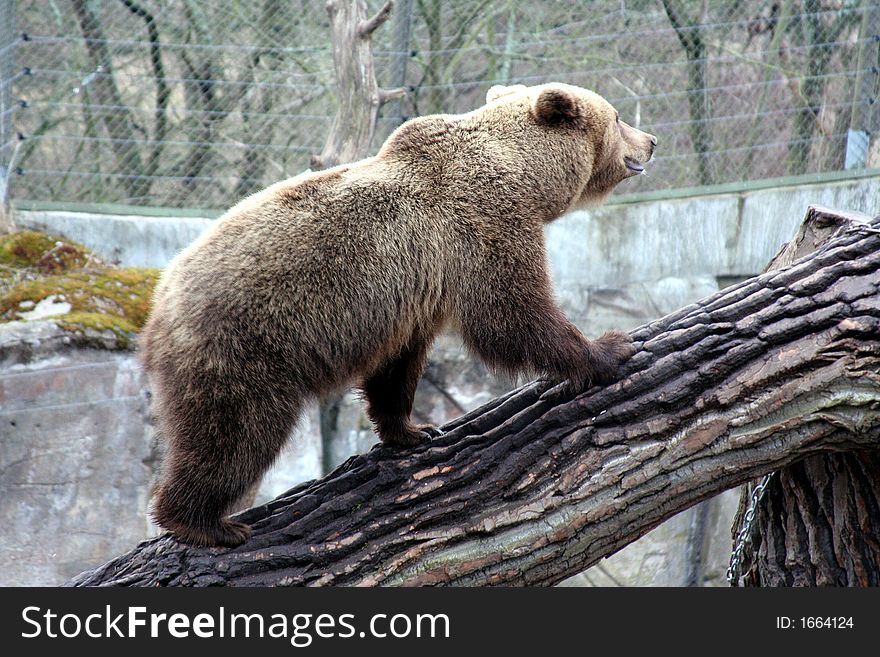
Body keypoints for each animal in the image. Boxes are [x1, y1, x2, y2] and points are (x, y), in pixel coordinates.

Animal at [141, 82, 656, 544]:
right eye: (617, 117)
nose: (651, 140)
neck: (527, 175)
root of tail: (158, 306)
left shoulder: (416, 291)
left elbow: (399, 366)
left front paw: (413, 429)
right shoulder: (484, 224)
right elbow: (512, 315)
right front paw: (611, 347)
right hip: (246, 346)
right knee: (234, 435)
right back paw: (206, 523)